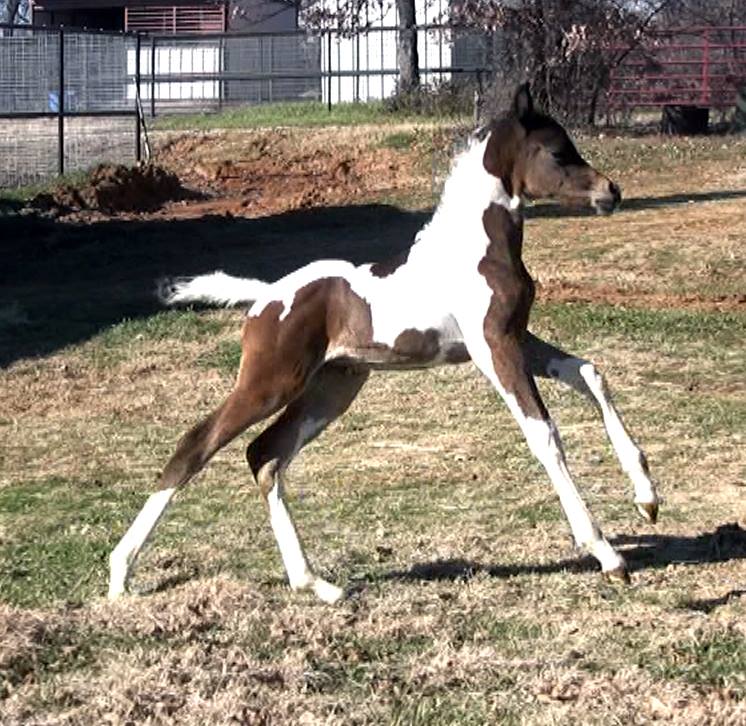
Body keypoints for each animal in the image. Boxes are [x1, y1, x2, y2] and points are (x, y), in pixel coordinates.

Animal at [109, 88, 656, 604]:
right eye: (557, 152)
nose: (612, 192)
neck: (476, 250)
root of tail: (264, 298)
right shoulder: (492, 348)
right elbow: (543, 433)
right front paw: (606, 552)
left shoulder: (517, 338)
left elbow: (590, 373)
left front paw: (647, 497)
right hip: (270, 382)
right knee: (196, 444)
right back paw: (120, 573)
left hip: (332, 388)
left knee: (265, 454)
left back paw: (317, 585)